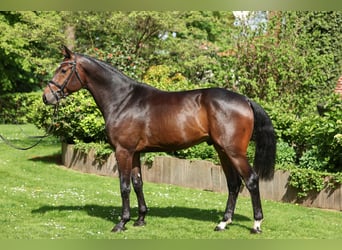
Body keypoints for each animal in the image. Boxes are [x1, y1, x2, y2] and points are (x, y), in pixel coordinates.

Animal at [42, 46, 276, 233]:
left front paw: (122, 223)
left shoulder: (123, 151)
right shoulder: (135, 152)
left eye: (64, 70)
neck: (123, 100)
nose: (46, 97)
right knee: (234, 184)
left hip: (234, 151)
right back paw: (223, 223)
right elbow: (138, 183)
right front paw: (140, 219)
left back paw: (256, 224)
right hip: (222, 150)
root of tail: (245, 99)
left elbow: (124, 186)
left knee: (251, 180)